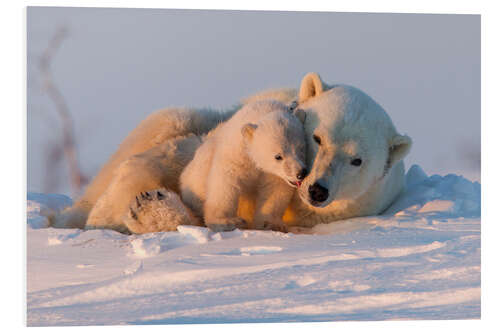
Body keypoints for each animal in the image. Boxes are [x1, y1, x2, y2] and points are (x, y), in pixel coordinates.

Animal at [51, 72, 410, 232]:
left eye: (357, 161)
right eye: (318, 138)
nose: (317, 189)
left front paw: (149, 207)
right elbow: (183, 159)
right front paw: (126, 205)